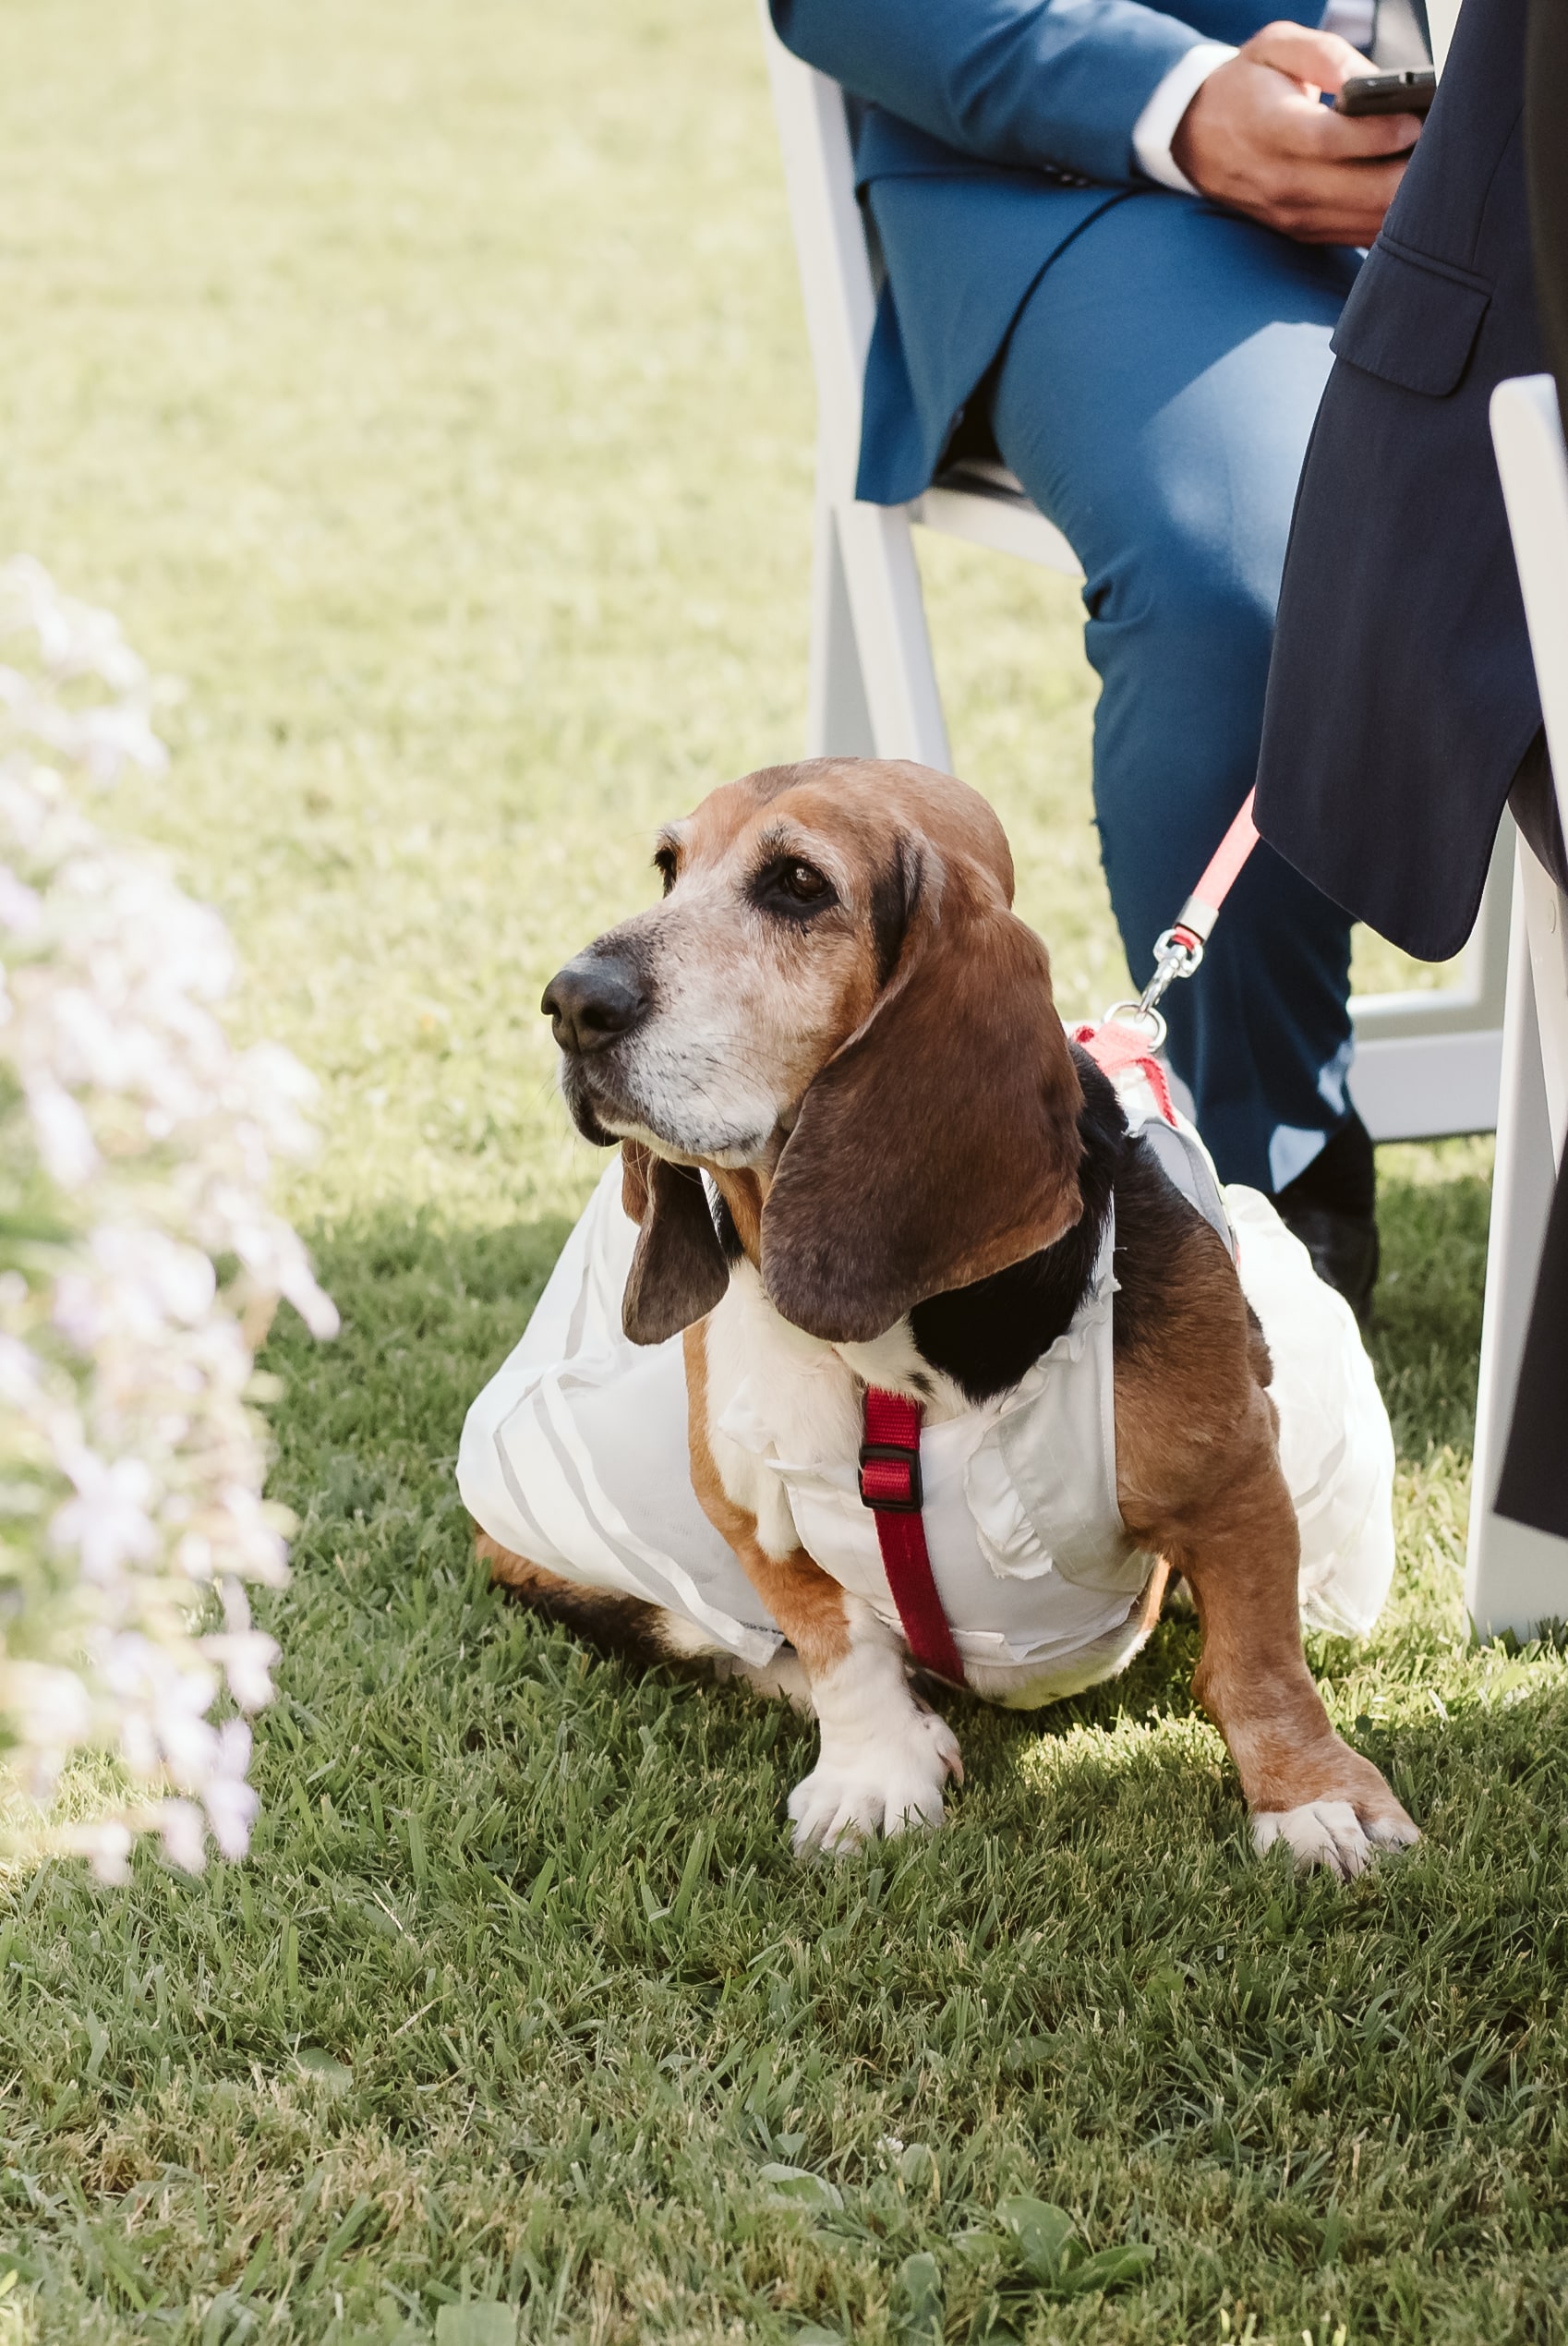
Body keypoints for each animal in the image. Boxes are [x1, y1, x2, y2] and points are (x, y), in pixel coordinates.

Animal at [480, 759, 1416, 1877]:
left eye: (800, 884)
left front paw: (1313, 1798)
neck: (900, 1351)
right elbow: (834, 1644)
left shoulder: (1233, 1480)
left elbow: (1256, 1657)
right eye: (668, 867)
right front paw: (876, 1771)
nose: (572, 1002)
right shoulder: (742, 1505)